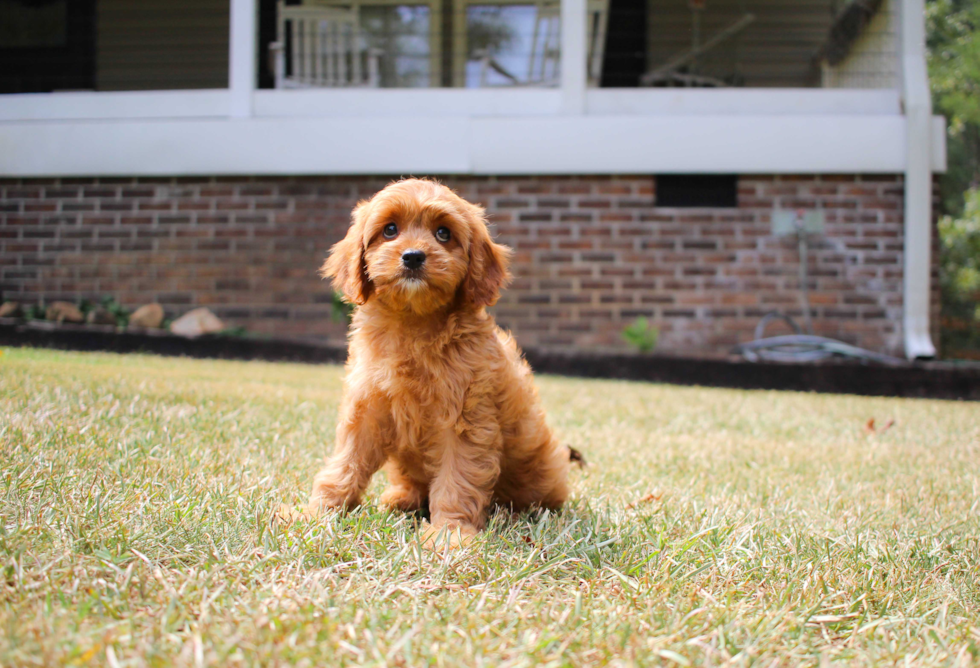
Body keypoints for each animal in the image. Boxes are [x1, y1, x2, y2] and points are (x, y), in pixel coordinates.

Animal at [302, 179, 572, 548]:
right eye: (390, 229)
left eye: (443, 233)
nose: (413, 256)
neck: (414, 322)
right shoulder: (366, 408)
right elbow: (346, 462)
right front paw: (316, 512)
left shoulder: (464, 421)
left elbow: (457, 478)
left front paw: (449, 534)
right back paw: (400, 498)